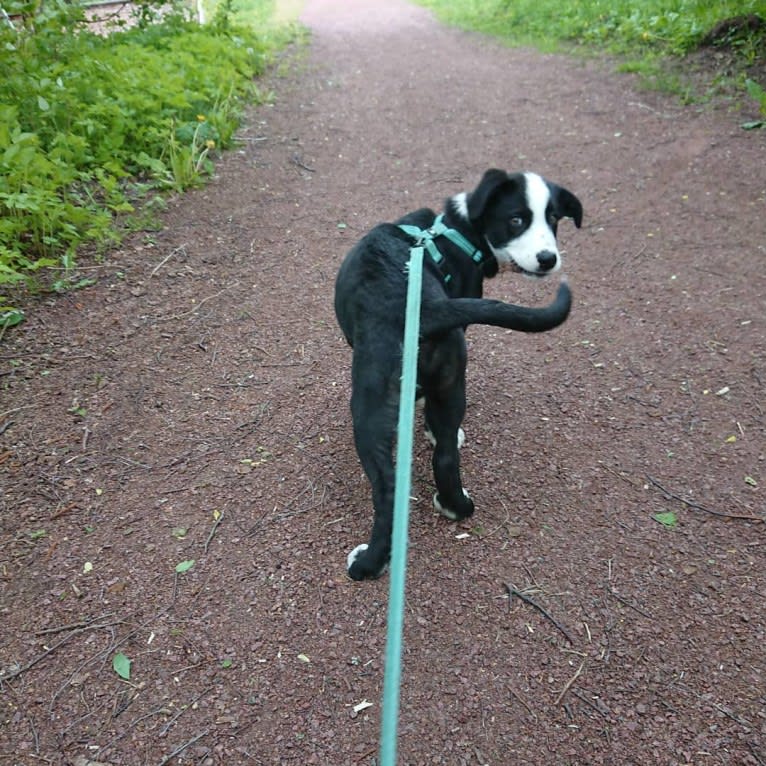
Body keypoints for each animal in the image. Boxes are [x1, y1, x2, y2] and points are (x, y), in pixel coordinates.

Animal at [334, 170, 584, 584]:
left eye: (553, 219)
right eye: (517, 219)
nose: (548, 259)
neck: (456, 231)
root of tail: (427, 307)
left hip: (368, 405)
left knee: (386, 490)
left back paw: (367, 563)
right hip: (451, 380)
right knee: (447, 458)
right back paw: (457, 506)